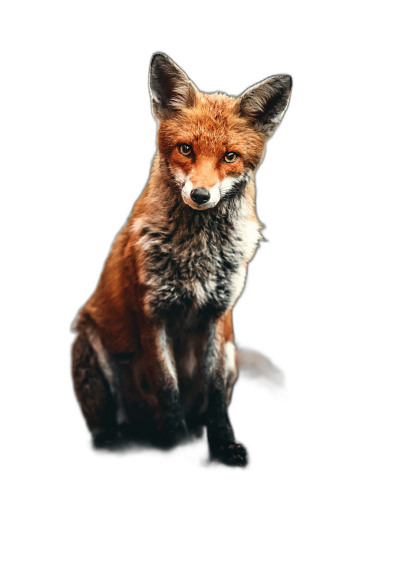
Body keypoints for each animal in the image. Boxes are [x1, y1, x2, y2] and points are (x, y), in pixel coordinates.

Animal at [70, 53, 292, 466]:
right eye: (186, 149)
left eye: (230, 156)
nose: (201, 195)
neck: (197, 255)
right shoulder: (152, 312)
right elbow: (167, 386)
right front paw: (173, 443)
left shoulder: (219, 315)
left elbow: (216, 394)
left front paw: (224, 444)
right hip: (88, 345)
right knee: (110, 424)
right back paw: (125, 437)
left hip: (232, 352)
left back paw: (194, 430)